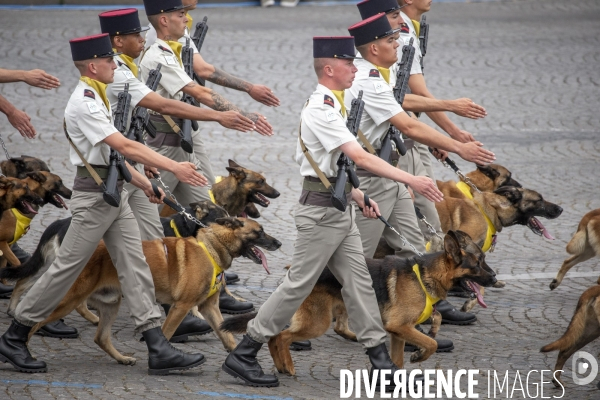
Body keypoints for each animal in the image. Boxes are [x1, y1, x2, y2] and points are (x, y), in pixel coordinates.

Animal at [220, 230, 496, 376]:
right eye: (478, 264)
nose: (494, 278)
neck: (428, 274)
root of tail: (293, 273)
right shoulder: (400, 327)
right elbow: (431, 343)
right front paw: (419, 355)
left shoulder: (398, 332)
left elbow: (398, 360)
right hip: (317, 322)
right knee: (281, 336)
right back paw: (286, 366)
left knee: (276, 336)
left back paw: (281, 366)